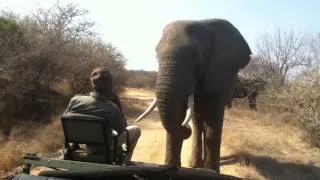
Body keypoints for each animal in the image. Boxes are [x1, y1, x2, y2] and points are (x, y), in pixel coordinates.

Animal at [134, 18, 251, 173]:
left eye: (195, 55)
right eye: (156, 54)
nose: (185, 127)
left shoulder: (217, 75)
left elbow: (213, 122)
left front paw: (212, 171)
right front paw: (170, 167)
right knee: (197, 123)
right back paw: (195, 165)